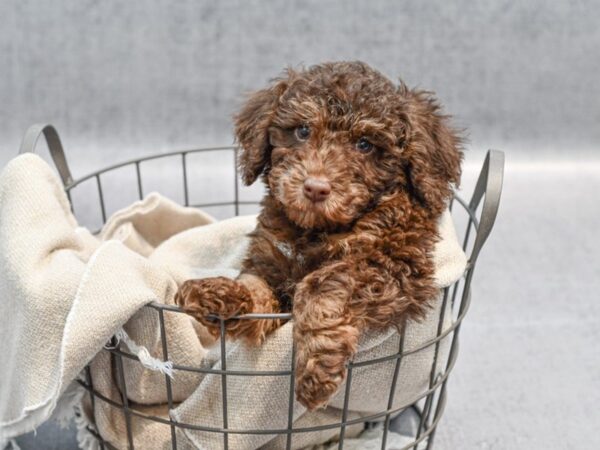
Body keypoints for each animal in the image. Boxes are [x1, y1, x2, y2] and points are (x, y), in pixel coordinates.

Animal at [176, 61, 462, 410]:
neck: (316, 230)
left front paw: (316, 368)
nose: (315, 187)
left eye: (365, 144)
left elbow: (323, 281)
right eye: (302, 131)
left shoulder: (396, 263)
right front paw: (220, 293)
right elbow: (258, 288)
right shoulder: (271, 260)